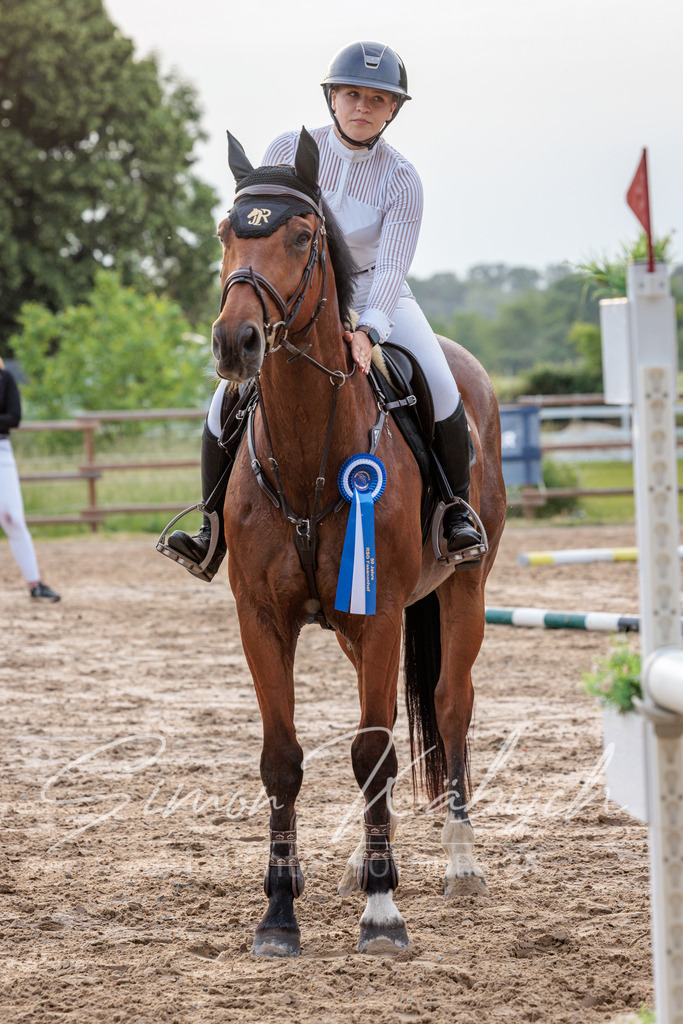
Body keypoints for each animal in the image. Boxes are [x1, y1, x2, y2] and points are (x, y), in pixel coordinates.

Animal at [212, 128, 506, 957]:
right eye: (227, 232)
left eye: (300, 236)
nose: (236, 342)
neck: (307, 455)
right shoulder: (263, 619)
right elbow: (284, 759)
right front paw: (279, 914)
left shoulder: (378, 617)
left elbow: (373, 752)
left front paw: (383, 912)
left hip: (462, 590)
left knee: (448, 706)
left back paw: (458, 864)